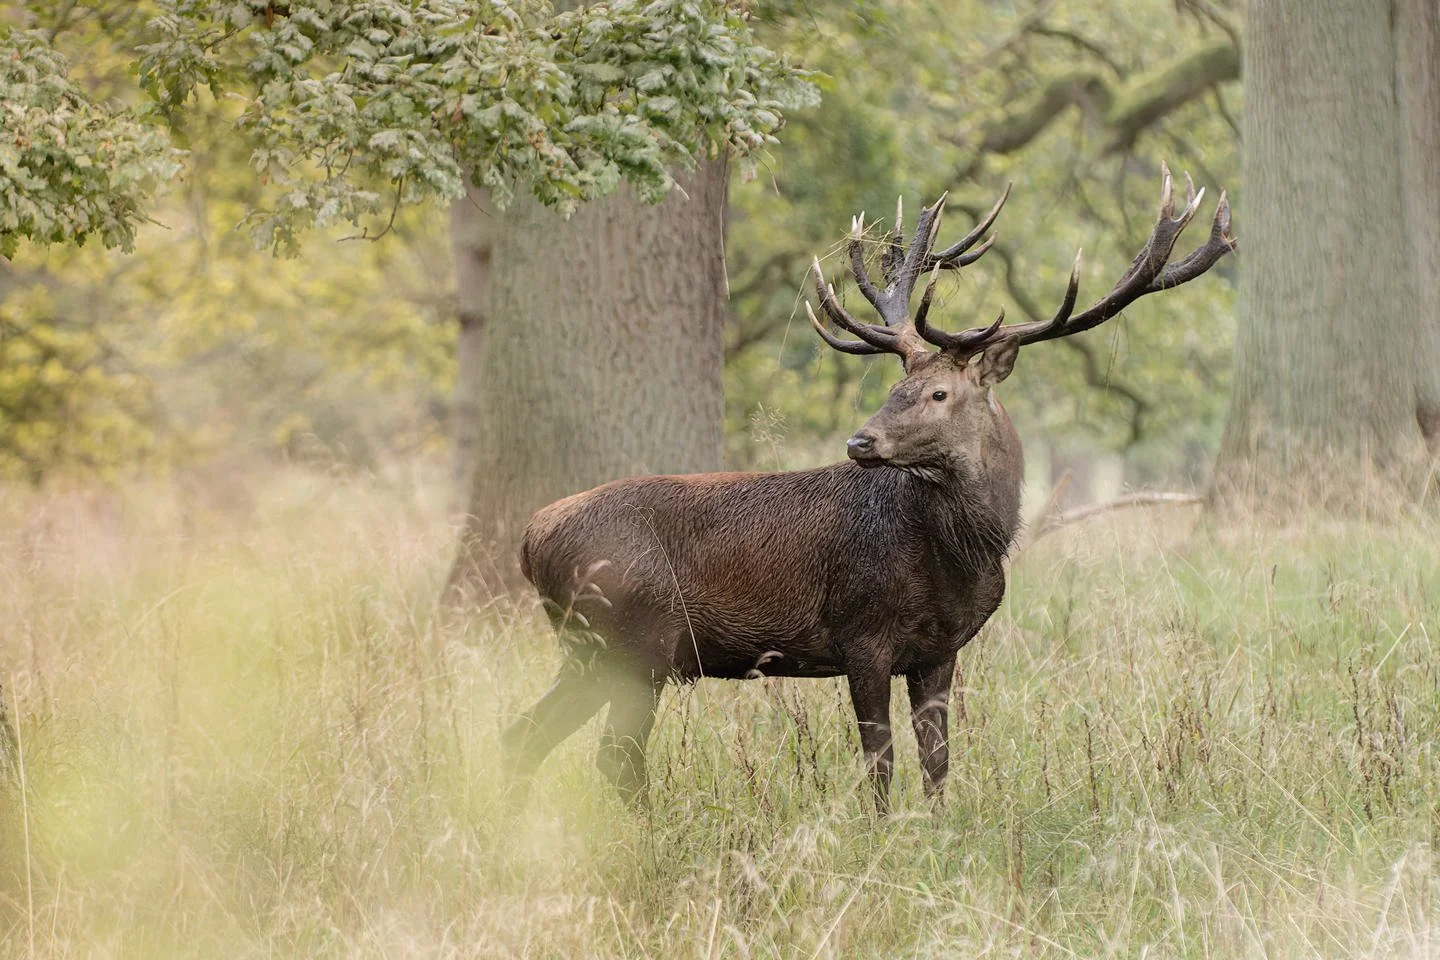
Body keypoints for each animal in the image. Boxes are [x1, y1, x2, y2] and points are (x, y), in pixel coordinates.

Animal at [504, 166, 1234, 810]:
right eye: (896, 386)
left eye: (938, 393)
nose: (860, 442)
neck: (956, 557)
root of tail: (531, 538)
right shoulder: (861, 634)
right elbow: (879, 763)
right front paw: (882, 840)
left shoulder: (939, 651)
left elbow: (937, 762)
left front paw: (939, 833)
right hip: (632, 642)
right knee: (611, 755)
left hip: (594, 650)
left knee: (528, 734)